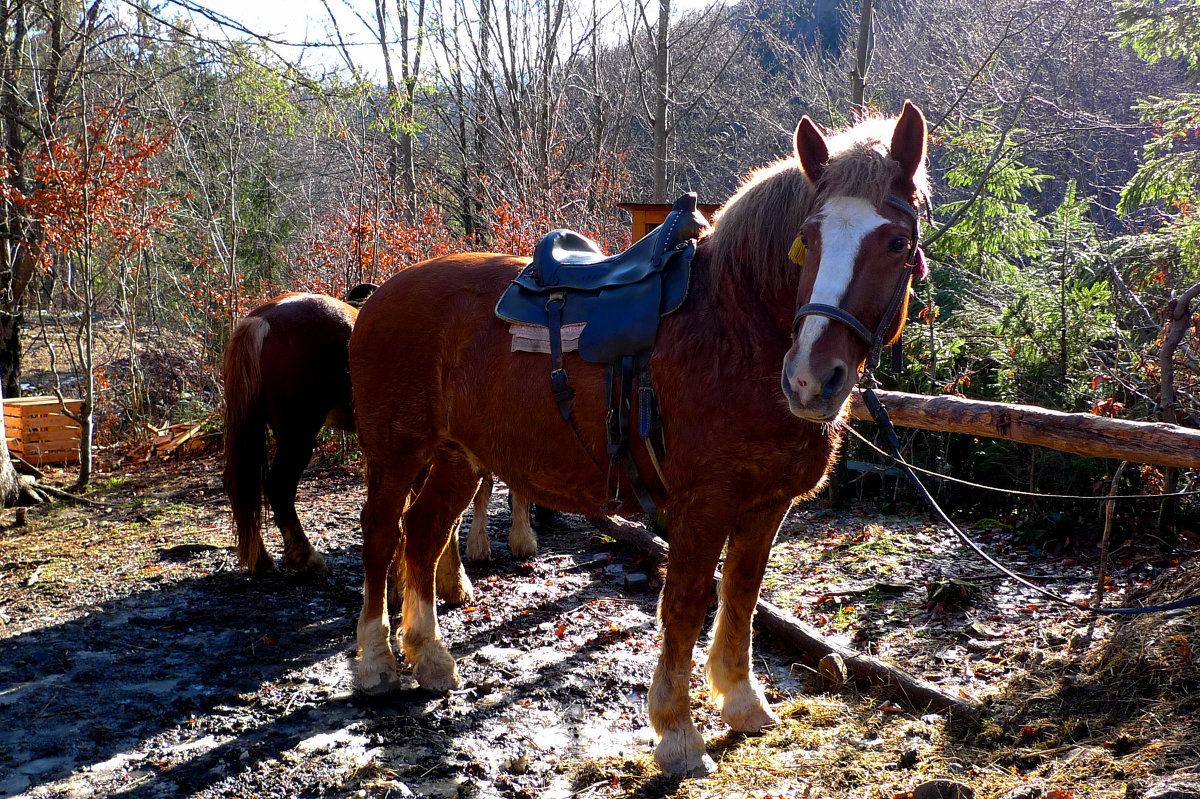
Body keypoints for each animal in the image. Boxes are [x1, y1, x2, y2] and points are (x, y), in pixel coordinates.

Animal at [222, 289, 540, 583]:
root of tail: (262, 318)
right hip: (298, 433)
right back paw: (305, 557)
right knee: (278, 486)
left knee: (243, 485)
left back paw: (261, 559)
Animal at [350, 99, 931, 772]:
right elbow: (686, 604)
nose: (811, 379)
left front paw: (742, 703)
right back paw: (376, 664)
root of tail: (381, 294)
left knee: (421, 536)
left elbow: (741, 597)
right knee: (381, 537)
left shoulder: (765, 506)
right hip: (396, 454)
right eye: (805, 242)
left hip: (458, 458)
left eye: (896, 242)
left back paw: (431, 659)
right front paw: (678, 734)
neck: (736, 332)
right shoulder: (703, 506)